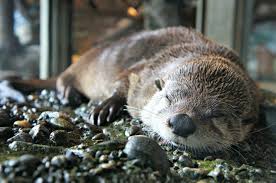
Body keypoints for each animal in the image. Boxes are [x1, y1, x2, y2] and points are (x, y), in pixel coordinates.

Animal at [1, 26, 260, 153]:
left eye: (218, 114)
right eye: (168, 97)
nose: (182, 122)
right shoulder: (140, 73)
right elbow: (122, 83)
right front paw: (105, 108)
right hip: (80, 65)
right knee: (62, 79)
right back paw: (70, 94)